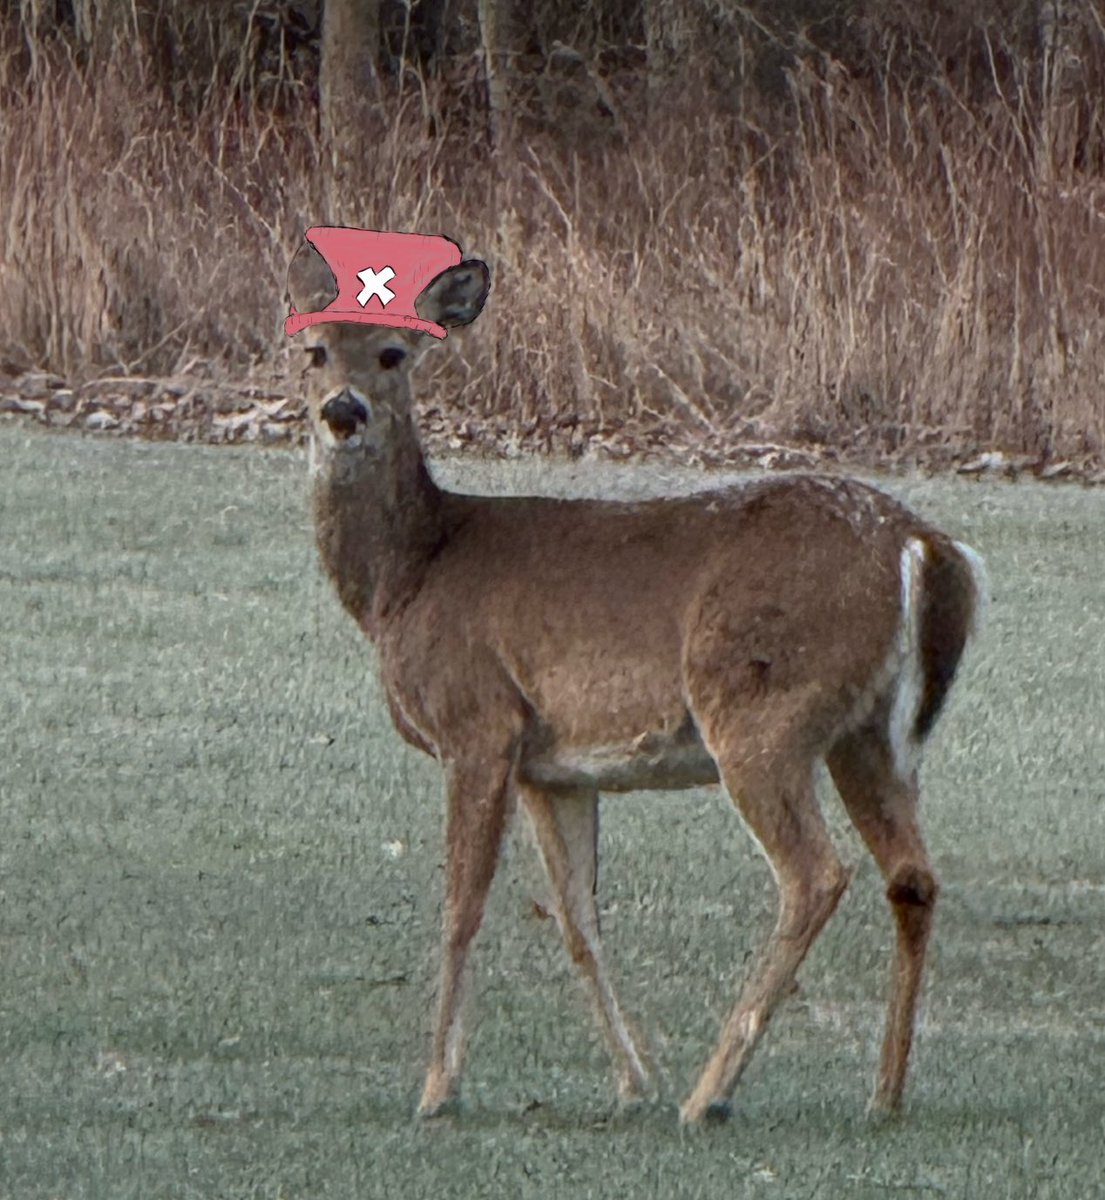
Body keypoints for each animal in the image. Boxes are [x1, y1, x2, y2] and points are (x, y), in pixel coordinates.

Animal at [286, 238, 986, 1124]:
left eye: (392, 353)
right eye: (313, 350)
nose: (343, 412)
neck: (407, 575)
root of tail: (922, 546)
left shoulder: (476, 721)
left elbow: (461, 907)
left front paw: (437, 1088)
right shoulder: (551, 766)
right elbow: (577, 917)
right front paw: (632, 1079)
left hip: (760, 706)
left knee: (814, 875)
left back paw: (710, 1094)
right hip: (868, 736)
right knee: (912, 877)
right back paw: (883, 1095)